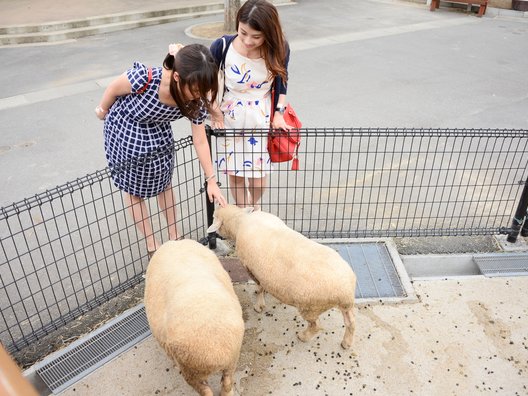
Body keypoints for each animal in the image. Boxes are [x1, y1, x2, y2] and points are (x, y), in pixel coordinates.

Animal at [208, 204, 356, 350]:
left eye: (214, 216)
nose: (217, 203)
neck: (241, 220)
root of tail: (346, 292)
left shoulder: (249, 266)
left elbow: (259, 287)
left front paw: (259, 305)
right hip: (341, 306)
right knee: (351, 322)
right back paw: (346, 342)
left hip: (310, 307)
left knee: (316, 326)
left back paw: (303, 336)